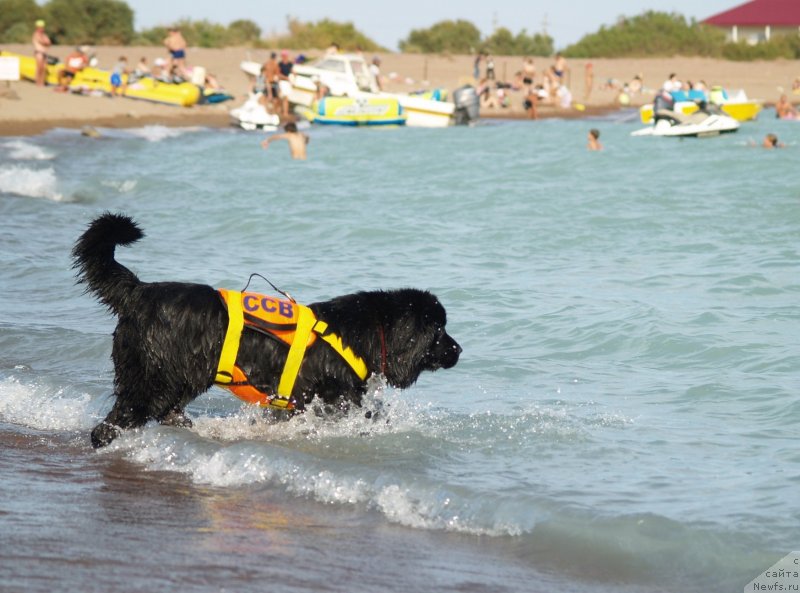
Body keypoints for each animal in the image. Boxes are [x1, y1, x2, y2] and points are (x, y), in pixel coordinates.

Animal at [76, 215, 462, 446]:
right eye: (439, 330)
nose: (459, 350)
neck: (368, 332)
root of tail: (139, 291)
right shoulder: (332, 397)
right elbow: (366, 413)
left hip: (183, 376)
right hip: (155, 375)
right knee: (118, 419)